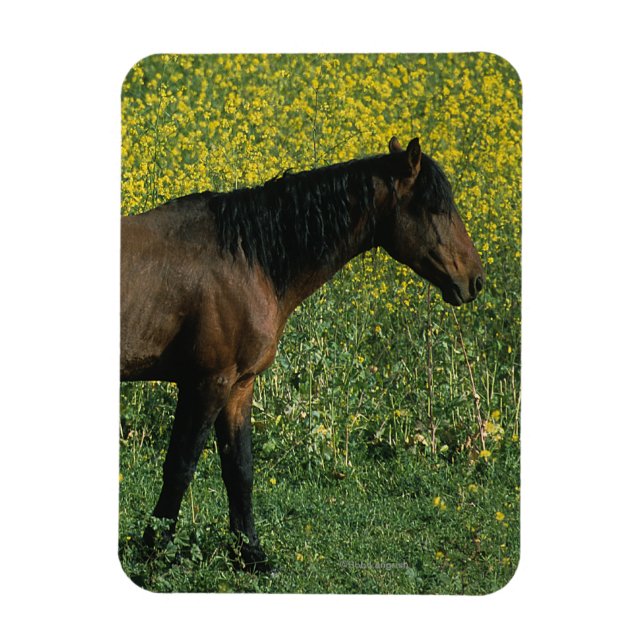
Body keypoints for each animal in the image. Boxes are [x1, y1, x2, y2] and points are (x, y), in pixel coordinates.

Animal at [120, 136, 484, 571]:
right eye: (434, 208)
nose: (475, 280)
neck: (246, 257)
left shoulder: (239, 385)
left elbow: (239, 469)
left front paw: (251, 554)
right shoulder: (207, 382)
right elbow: (180, 465)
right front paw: (155, 546)